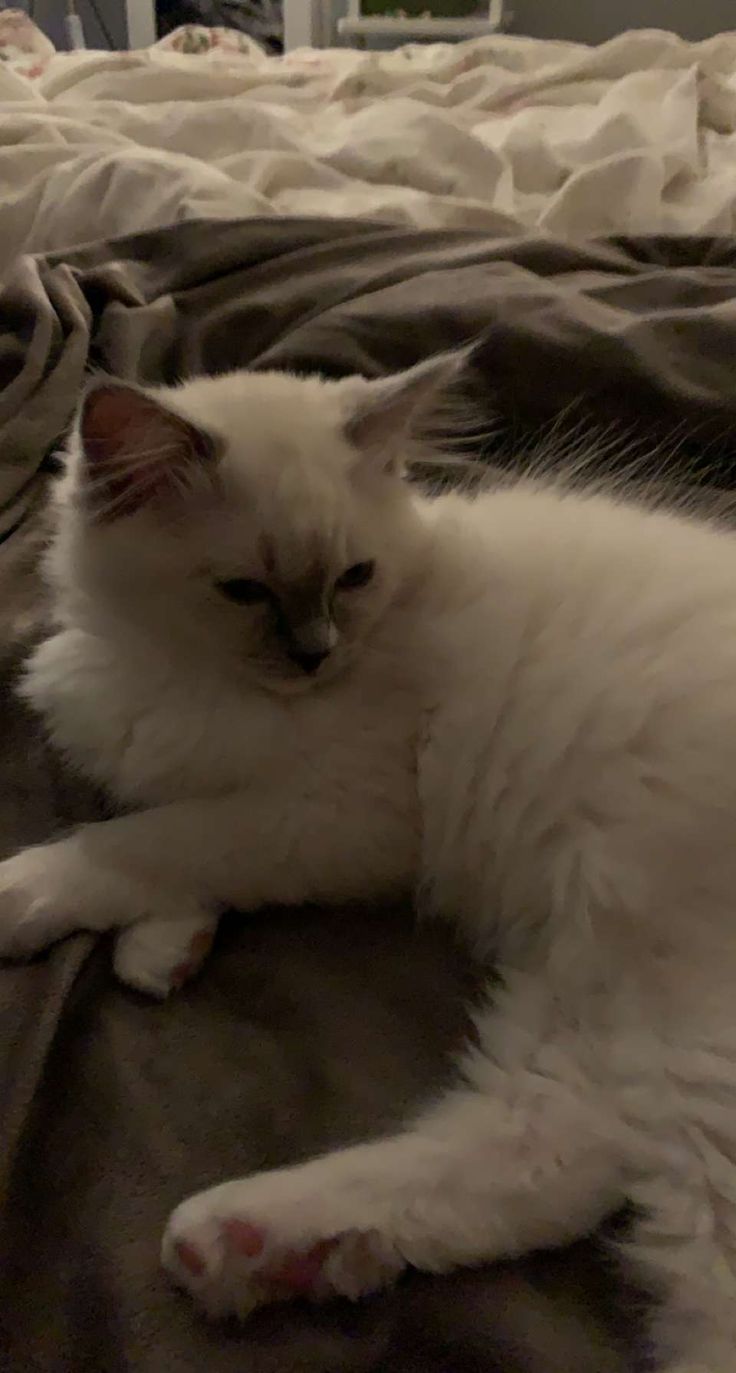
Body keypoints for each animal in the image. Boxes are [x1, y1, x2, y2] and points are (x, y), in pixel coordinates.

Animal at [1, 359, 736, 1367]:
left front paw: (29, 894)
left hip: (665, 1007)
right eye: (245, 590)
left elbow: (153, 841)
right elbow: (166, 835)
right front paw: (162, 952)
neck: (185, 674)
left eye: (354, 578)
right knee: (552, 1140)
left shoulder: (340, 814)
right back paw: (246, 1244)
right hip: (596, 992)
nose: (318, 654)